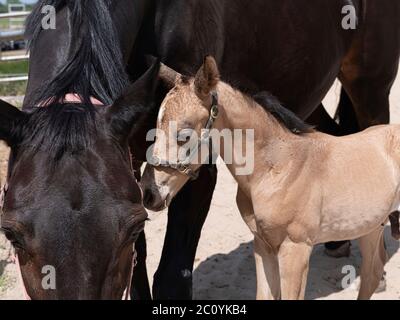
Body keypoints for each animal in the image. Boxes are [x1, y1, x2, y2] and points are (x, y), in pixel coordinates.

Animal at [141, 57, 400, 300]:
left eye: (184, 134)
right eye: (155, 124)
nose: (149, 194)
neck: (278, 169)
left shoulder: (296, 249)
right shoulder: (263, 245)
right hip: (369, 226)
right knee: (373, 272)